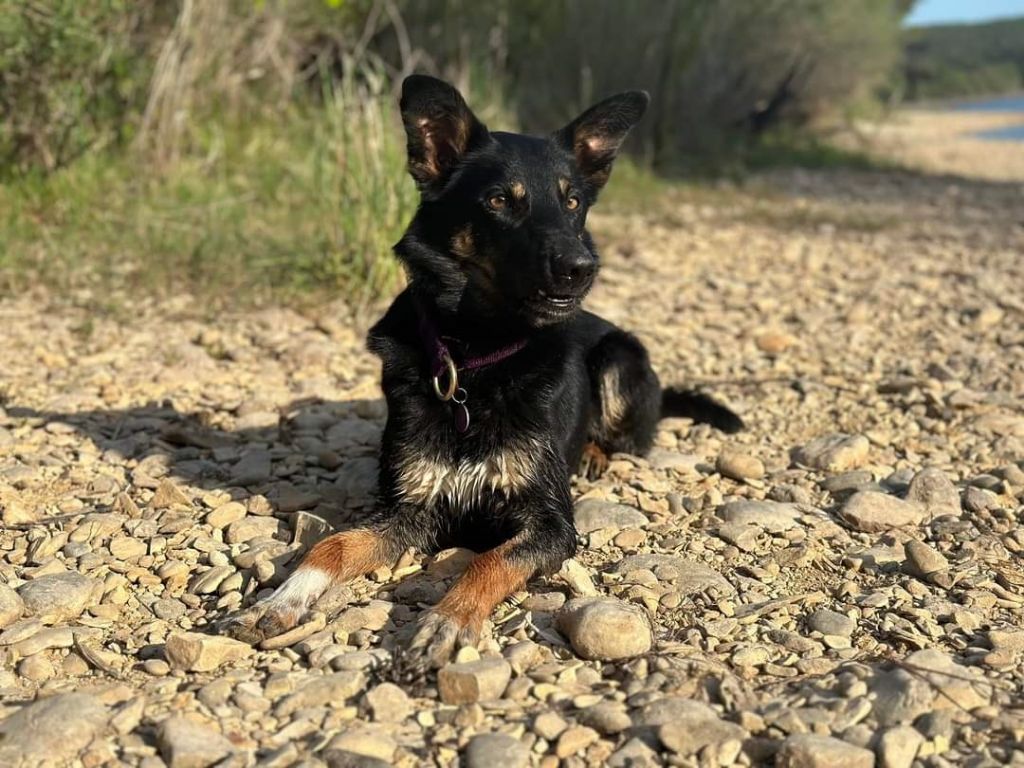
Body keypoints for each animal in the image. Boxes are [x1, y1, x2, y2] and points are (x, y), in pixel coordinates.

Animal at [224, 76, 741, 667]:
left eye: (572, 202)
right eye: (499, 200)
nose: (581, 268)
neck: (478, 354)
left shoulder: (550, 523)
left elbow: (488, 560)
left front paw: (448, 620)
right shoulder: (410, 510)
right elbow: (332, 544)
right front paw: (279, 601)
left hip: (618, 357)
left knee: (630, 435)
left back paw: (594, 452)